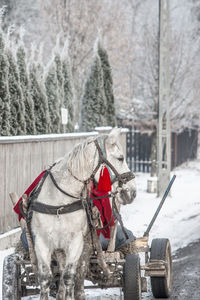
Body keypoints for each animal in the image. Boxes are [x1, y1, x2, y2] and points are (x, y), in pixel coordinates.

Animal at [30, 127, 136, 298]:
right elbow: (45, 278)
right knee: (61, 273)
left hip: (85, 248)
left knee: (78, 278)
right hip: (60, 249)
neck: (60, 203)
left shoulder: (76, 243)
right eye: (120, 158)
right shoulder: (42, 241)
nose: (132, 191)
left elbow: (69, 277)